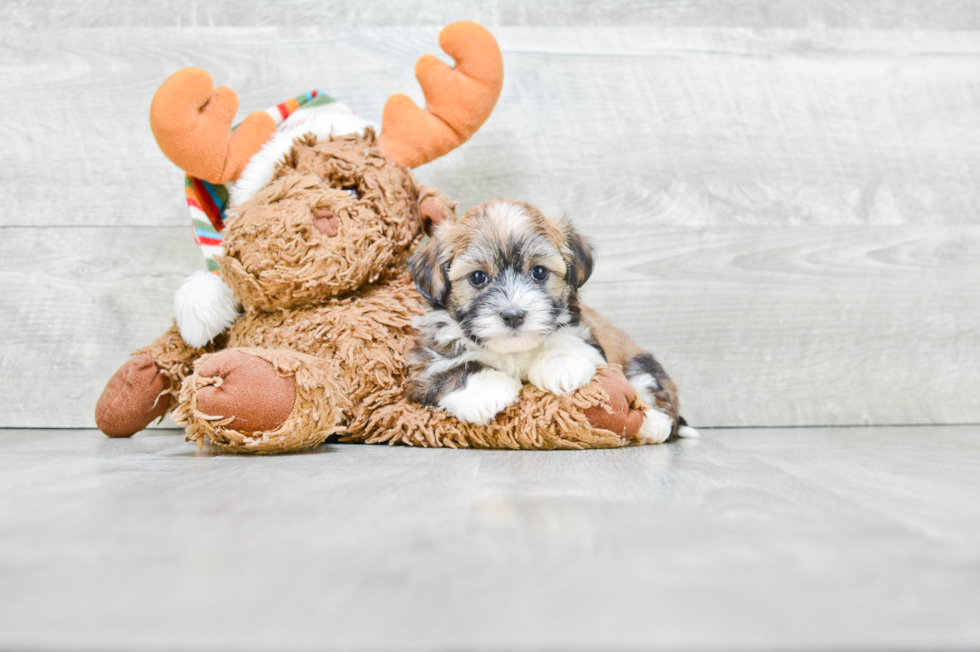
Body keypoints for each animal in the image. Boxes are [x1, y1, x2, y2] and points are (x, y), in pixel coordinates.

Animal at [406, 199, 696, 444]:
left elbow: (568, 338)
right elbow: (450, 368)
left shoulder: (583, 330)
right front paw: (486, 389)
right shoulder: (425, 363)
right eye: (477, 277)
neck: (513, 351)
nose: (514, 315)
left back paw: (654, 424)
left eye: (539, 272)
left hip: (641, 363)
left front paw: (560, 364)